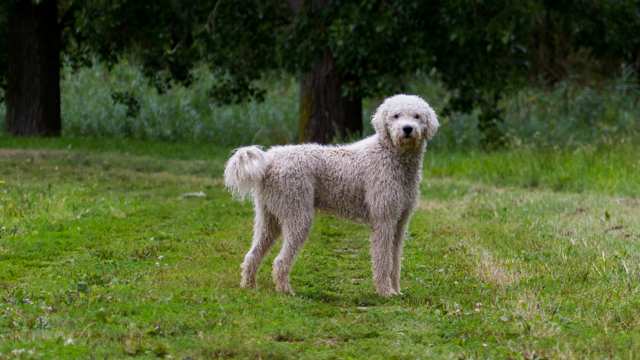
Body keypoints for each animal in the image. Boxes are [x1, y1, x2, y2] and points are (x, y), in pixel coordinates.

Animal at [222, 94, 438, 296]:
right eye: (396, 116)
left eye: (417, 116)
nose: (408, 129)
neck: (390, 154)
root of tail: (270, 159)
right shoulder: (384, 220)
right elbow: (383, 260)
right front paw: (385, 292)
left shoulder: (400, 222)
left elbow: (395, 260)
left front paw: (396, 291)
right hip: (297, 215)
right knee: (280, 261)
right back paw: (285, 291)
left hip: (268, 219)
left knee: (252, 255)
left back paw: (249, 286)